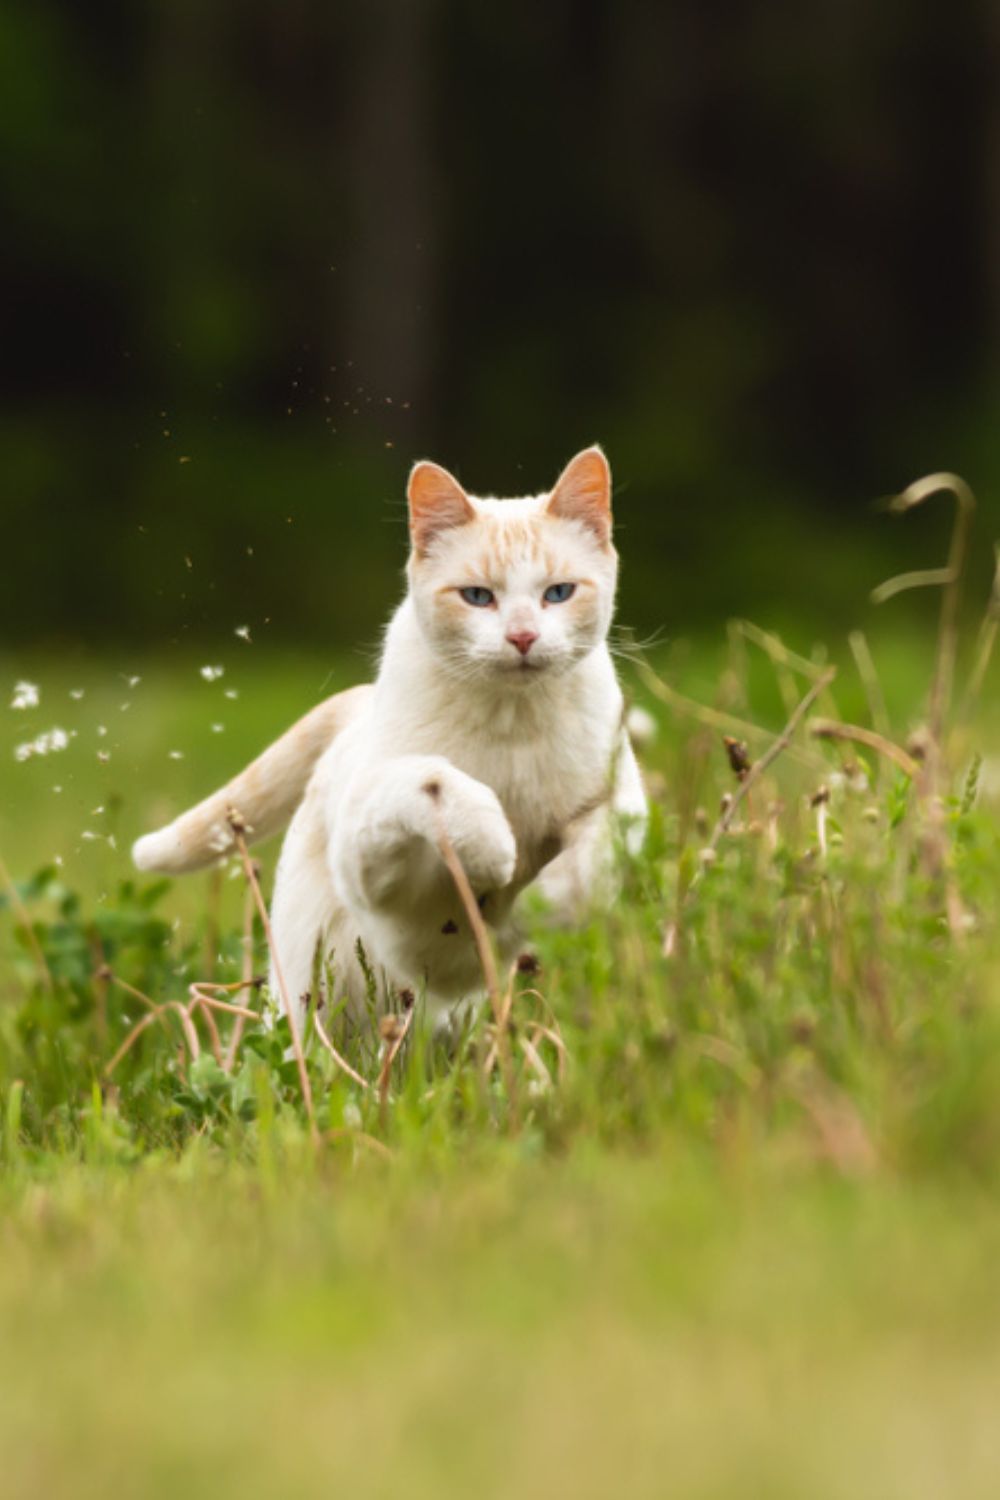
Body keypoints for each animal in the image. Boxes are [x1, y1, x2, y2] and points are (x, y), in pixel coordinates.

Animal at [134, 444, 650, 1032]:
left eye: (558, 593)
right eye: (478, 597)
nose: (522, 637)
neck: (511, 722)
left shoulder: (621, 801)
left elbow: (592, 862)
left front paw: (532, 910)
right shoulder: (375, 864)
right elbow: (434, 783)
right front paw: (494, 851)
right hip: (308, 998)